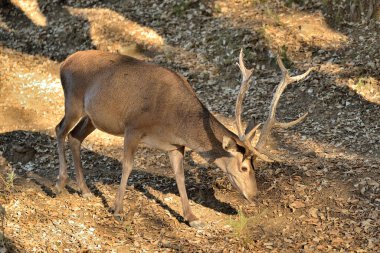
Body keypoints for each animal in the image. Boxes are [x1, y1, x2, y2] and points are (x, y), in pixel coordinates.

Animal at [55, 49, 314, 227]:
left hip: (92, 117)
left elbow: (180, 175)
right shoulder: (133, 127)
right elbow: (127, 166)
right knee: (59, 130)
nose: (254, 195)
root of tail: (64, 62)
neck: (173, 120)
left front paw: (191, 217)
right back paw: (61, 183)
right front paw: (118, 210)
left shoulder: (175, 145)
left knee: (75, 138)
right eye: (243, 168)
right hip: (74, 101)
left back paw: (85, 190)